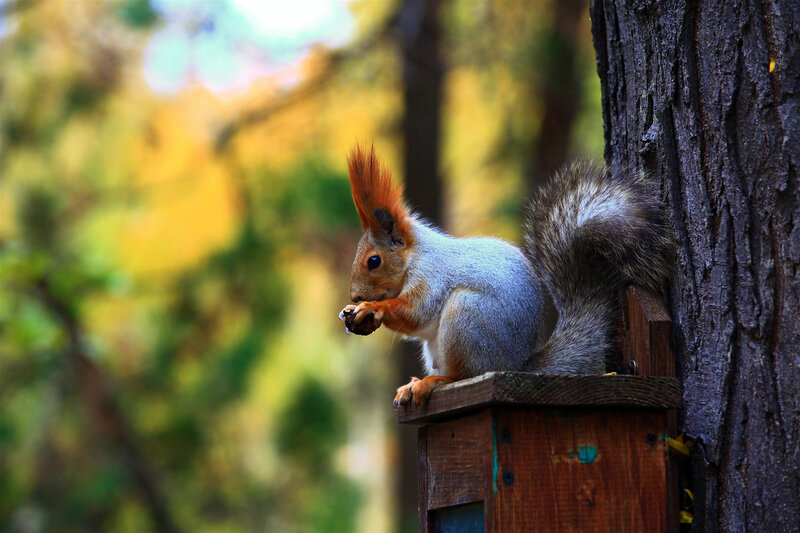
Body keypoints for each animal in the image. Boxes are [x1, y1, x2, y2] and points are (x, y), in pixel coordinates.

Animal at [339, 145, 674, 406]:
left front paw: (370, 308)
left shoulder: (432, 275)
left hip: (468, 317)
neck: (414, 256)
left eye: (373, 261)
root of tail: (516, 364)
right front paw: (353, 311)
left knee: (464, 375)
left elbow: (417, 312)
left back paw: (434, 381)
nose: (355, 295)